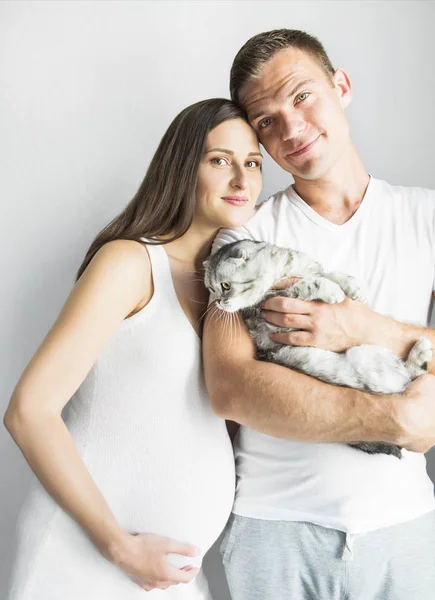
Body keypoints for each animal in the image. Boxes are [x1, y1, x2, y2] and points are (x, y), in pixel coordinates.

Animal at [205, 239, 432, 460]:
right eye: (211, 289)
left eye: (224, 285)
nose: (218, 303)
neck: (281, 268)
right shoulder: (272, 313)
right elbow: (306, 284)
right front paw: (332, 291)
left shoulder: (308, 268)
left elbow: (327, 272)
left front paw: (352, 286)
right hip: (367, 360)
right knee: (409, 374)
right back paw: (421, 351)